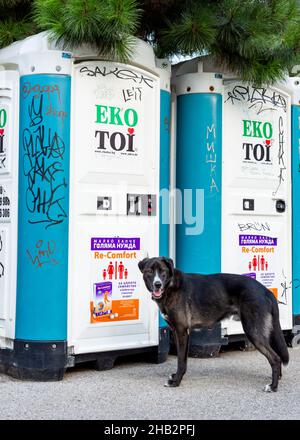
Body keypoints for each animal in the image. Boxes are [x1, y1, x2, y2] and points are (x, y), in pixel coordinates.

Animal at [138, 256, 288, 390]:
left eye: (163, 271)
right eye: (149, 271)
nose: (157, 284)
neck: (170, 286)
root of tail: (267, 291)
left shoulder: (181, 331)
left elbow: (181, 361)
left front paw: (176, 382)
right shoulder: (178, 332)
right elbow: (183, 360)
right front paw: (176, 377)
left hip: (253, 331)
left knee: (275, 358)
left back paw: (273, 386)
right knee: (278, 356)